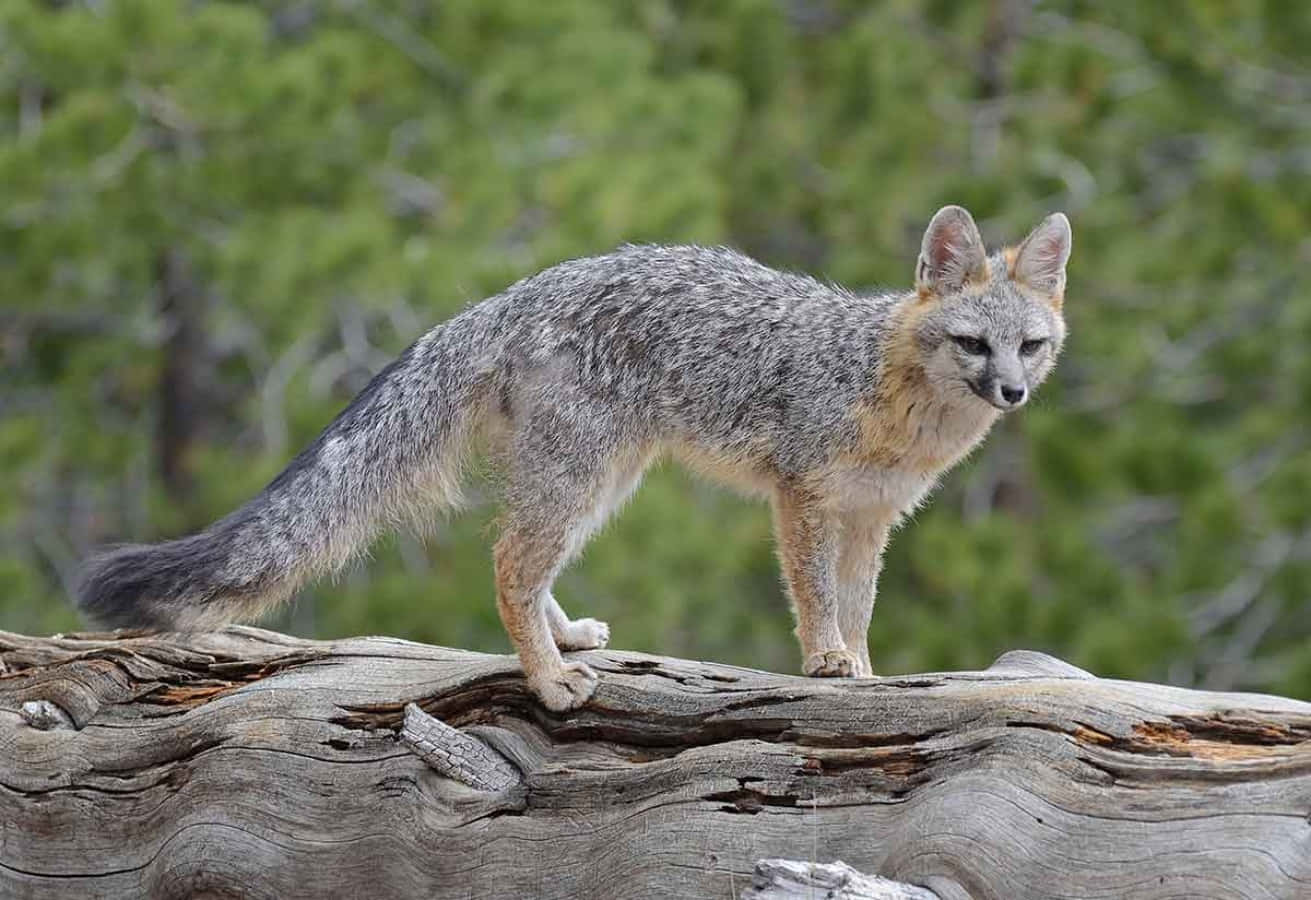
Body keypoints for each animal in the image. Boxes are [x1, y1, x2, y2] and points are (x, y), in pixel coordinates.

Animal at [77, 205, 1071, 711]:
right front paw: (826, 661)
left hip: (604, 482)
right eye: (973, 344)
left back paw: (562, 642)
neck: (888, 390)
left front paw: (862, 667)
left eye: (1031, 347)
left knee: (527, 563)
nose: (1012, 395)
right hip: (584, 477)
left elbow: (859, 604)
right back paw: (548, 679)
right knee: (509, 564)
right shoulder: (801, 496)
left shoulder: (871, 516)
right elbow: (816, 596)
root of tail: (506, 297)